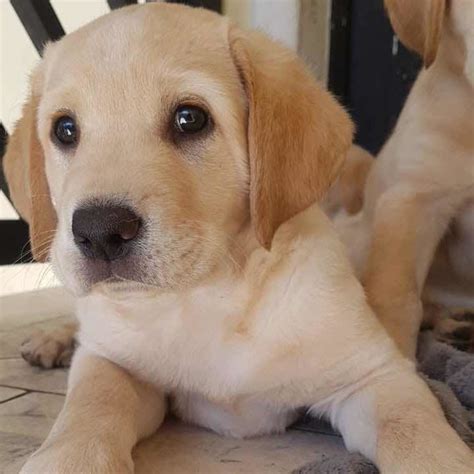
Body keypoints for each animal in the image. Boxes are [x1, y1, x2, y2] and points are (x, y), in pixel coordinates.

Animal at [4, 4, 474, 474]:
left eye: (190, 119)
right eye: (65, 129)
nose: (99, 232)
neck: (211, 296)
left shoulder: (373, 374)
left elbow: (414, 431)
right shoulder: (110, 359)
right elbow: (90, 406)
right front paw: (66, 457)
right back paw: (51, 340)